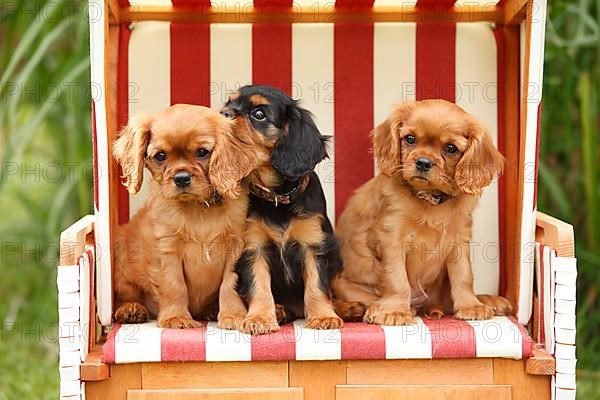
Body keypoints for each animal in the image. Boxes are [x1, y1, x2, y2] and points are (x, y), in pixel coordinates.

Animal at [219, 85, 342, 334]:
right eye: (228, 104)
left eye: (259, 114)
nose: (222, 114)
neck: (277, 198)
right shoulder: (253, 249)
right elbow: (259, 287)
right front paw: (259, 319)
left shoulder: (314, 245)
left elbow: (317, 285)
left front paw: (323, 317)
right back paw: (279, 310)